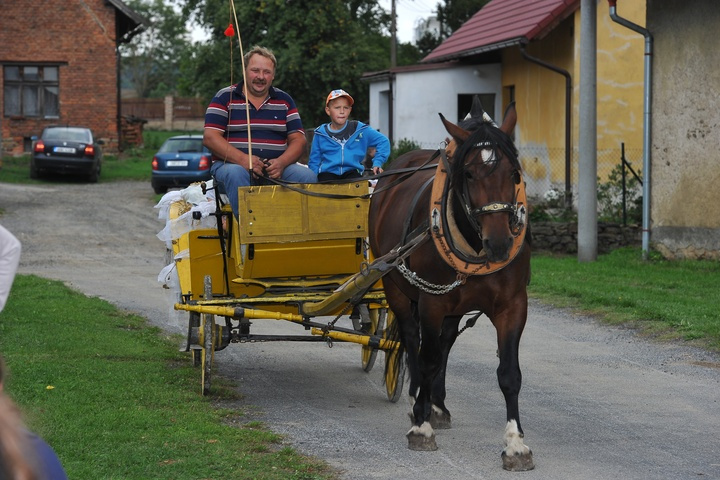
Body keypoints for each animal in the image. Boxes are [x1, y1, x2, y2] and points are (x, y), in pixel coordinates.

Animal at [372, 99, 536, 470]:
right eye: (469, 174)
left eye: (514, 174)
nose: (500, 243)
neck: (474, 244)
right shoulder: (432, 303)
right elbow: (427, 358)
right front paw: (421, 428)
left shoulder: (513, 305)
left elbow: (510, 373)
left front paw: (516, 444)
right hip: (396, 288)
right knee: (413, 340)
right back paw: (418, 401)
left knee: (445, 342)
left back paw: (437, 405)